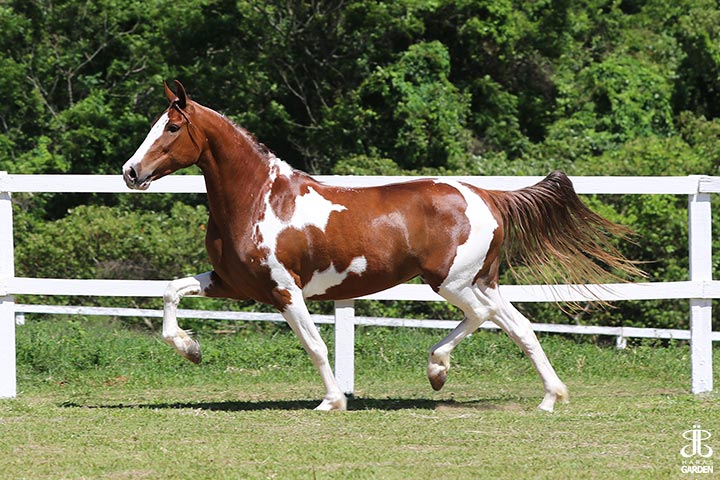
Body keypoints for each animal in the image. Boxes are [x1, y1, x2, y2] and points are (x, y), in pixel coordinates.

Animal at [122, 80, 640, 411]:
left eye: (171, 127)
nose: (130, 171)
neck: (260, 199)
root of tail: (486, 195)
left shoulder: (284, 289)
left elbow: (315, 345)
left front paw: (332, 402)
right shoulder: (234, 282)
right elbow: (170, 290)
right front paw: (190, 348)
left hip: (453, 283)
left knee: (485, 318)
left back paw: (439, 369)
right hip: (481, 282)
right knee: (519, 327)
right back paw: (547, 397)